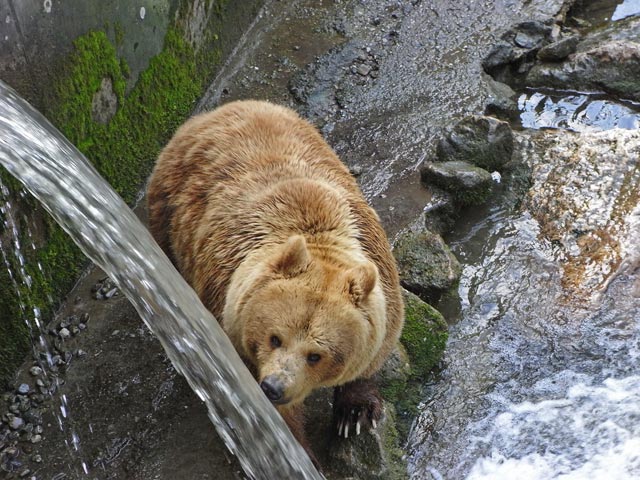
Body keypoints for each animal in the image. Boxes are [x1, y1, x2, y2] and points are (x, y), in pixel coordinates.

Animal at [148, 99, 402, 464]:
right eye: (275, 338)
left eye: (316, 355)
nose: (274, 387)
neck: (317, 236)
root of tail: (215, 111)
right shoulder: (227, 306)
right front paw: (297, 449)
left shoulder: (379, 277)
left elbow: (375, 350)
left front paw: (354, 414)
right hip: (167, 213)